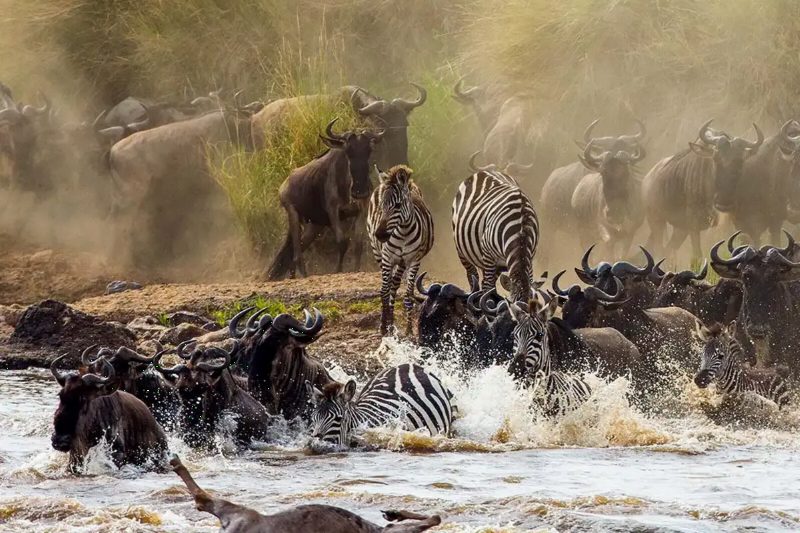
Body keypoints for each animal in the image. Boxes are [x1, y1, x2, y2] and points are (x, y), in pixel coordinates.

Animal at [367, 165, 434, 335]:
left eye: (397, 206)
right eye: (381, 206)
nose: (380, 235)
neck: (403, 231)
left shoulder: (414, 260)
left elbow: (408, 294)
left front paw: (409, 329)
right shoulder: (387, 258)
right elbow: (384, 291)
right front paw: (383, 327)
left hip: (402, 262)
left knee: (394, 286)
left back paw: (392, 323)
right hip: (378, 254)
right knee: (388, 286)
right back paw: (387, 323)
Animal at [451, 165, 539, 301]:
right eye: (512, 304)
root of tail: (486, 171)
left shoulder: (530, 256)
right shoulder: (488, 253)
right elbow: (488, 287)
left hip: (497, 263)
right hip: (461, 249)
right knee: (473, 275)